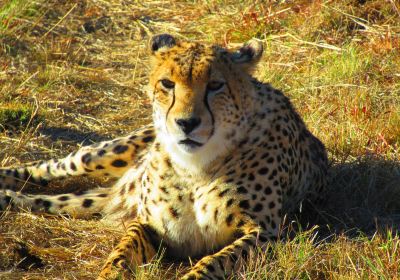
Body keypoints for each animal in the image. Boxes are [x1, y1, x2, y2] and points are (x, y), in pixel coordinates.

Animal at [0, 34, 328, 278]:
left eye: (215, 85)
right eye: (167, 84)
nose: (186, 123)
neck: (196, 168)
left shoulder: (267, 233)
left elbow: (215, 262)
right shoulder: (148, 223)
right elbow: (122, 251)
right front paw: (111, 271)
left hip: (99, 201)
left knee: (58, 202)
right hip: (106, 155)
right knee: (56, 165)